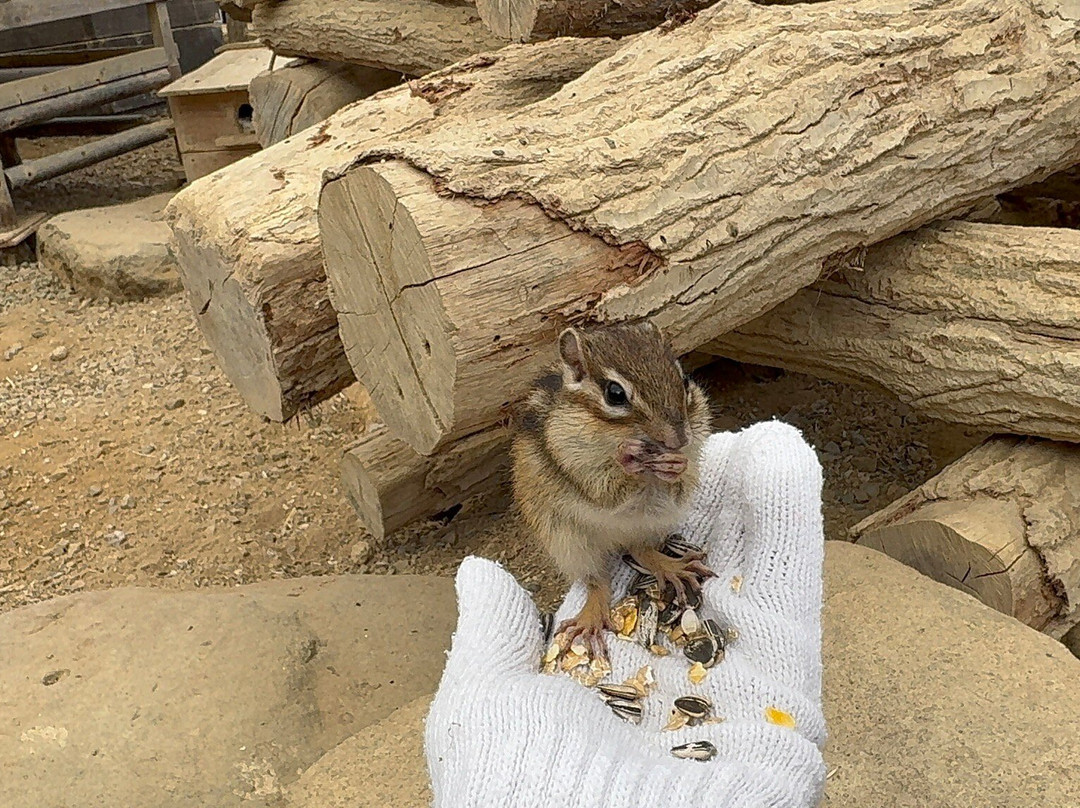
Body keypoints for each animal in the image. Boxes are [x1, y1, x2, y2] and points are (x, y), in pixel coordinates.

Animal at [512, 322, 714, 659]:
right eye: (615, 394)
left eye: (684, 380)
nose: (678, 440)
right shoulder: (571, 458)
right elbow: (605, 491)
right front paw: (627, 458)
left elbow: (681, 481)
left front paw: (676, 466)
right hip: (568, 542)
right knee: (597, 580)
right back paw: (591, 618)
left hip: (653, 524)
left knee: (641, 549)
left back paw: (672, 566)